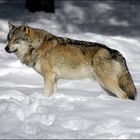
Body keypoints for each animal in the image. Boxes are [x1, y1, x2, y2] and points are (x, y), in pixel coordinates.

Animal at [4, 22, 137, 99]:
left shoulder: (48, 77)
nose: (5, 48)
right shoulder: (54, 79)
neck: (37, 46)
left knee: (124, 95)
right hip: (105, 86)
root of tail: (115, 52)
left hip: (106, 82)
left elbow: (46, 94)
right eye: (8, 39)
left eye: (16, 39)